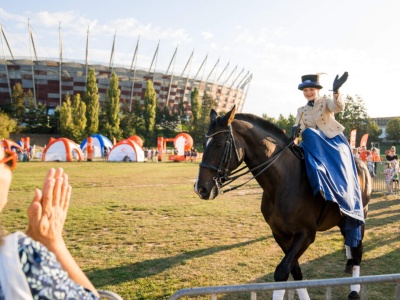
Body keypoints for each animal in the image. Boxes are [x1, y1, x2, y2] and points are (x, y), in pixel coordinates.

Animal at [194, 106, 372, 300]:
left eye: (218, 144)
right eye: (203, 144)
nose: (200, 188)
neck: (282, 182)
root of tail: (362, 163)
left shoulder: (306, 234)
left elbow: (281, 272)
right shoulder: (280, 234)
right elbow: (294, 271)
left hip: (358, 217)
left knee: (357, 251)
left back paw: (354, 290)